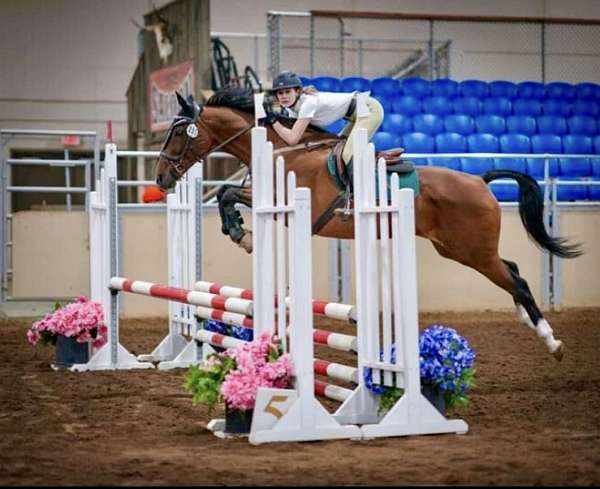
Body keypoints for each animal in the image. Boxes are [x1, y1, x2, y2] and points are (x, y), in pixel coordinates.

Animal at [154, 88, 580, 362]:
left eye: (176, 132)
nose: (160, 179)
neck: (284, 149)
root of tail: (479, 179)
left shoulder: (292, 207)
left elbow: (229, 194)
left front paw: (241, 234)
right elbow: (227, 193)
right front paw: (240, 232)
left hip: (472, 250)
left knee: (516, 280)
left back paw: (553, 342)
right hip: (458, 249)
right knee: (513, 270)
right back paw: (531, 323)